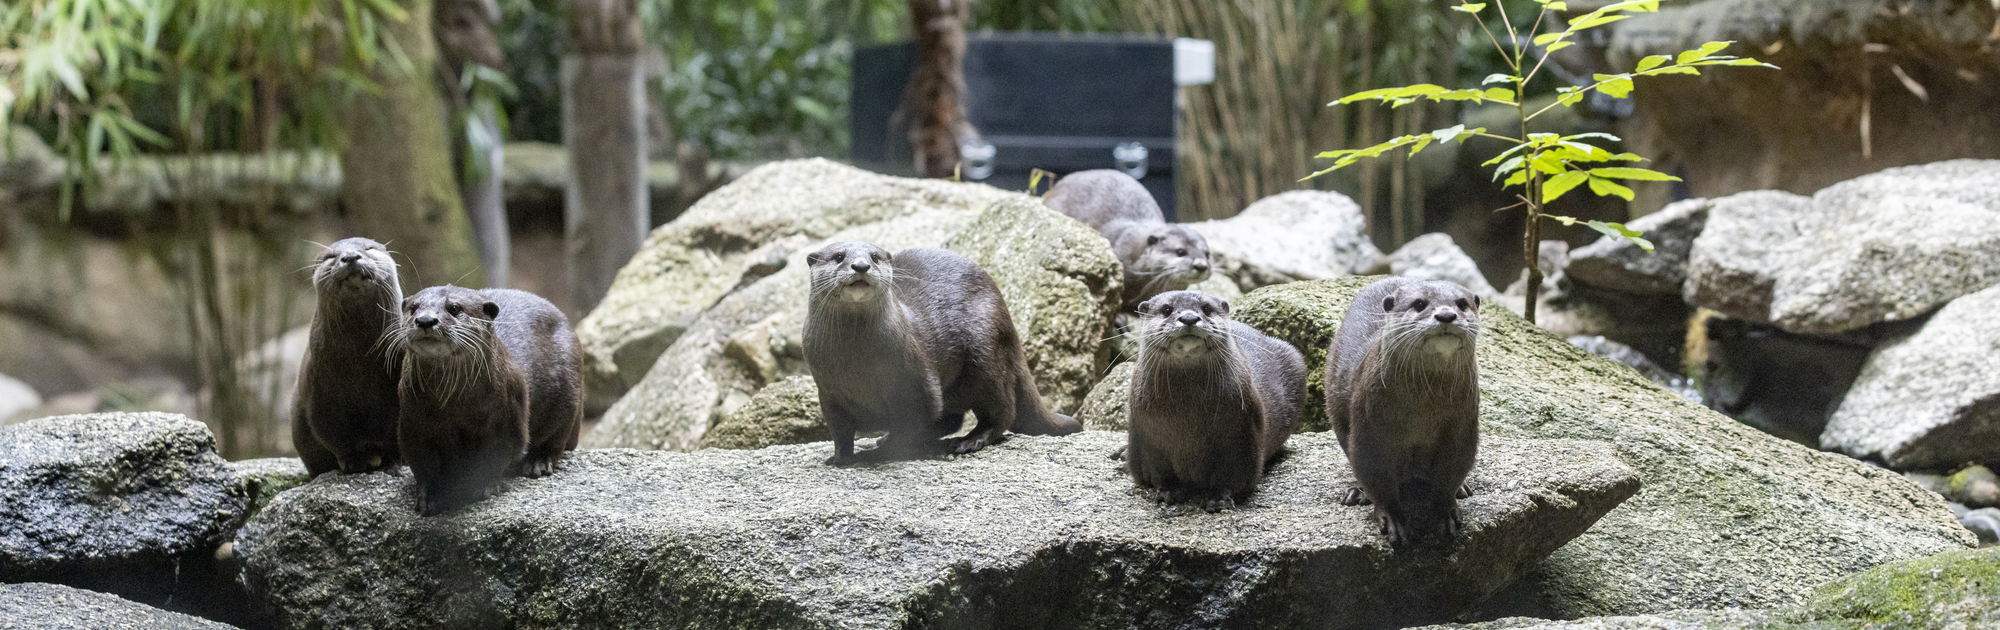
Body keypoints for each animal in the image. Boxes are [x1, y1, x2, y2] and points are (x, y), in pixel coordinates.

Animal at [293, 237, 403, 477]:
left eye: (369, 248)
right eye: (330, 256)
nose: (351, 256)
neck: (361, 360)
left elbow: (395, 431)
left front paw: (393, 462)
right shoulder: (320, 392)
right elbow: (332, 433)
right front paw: (354, 462)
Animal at [387, 285, 582, 515]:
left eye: (455, 308)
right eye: (413, 308)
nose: (425, 320)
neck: (454, 406)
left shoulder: (508, 419)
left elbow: (496, 456)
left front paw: (485, 486)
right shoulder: (413, 423)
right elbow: (423, 464)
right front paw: (430, 496)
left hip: (568, 395)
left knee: (556, 437)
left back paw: (538, 462)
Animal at [803, 241, 1081, 465]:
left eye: (875, 257)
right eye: (839, 256)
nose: (860, 266)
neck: (858, 366)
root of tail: (1010, 327)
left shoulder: (918, 385)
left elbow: (911, 426)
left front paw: (876, 454)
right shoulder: (828, 392)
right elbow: (840, 431)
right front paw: (840, 458)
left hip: (986, 355)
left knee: (1002, 411)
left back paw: (969, 441)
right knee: (953, 418)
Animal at [1124, 291, 1304, 512]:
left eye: (1207, 308)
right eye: (1166, 309)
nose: (1189, 318)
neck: (1186, 419)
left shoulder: (1241, 437)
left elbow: (1231, 475)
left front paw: (1218, 498)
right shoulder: (1149, 438)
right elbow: (1160, 471)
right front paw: (1169, 491)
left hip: (1295, 359)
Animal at [1325, 277, 1482, 547]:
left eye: (1462, 304)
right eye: (1419, 304)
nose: (1446, 315)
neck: (1423, 411)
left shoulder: (1462, 426)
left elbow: (1451, 470)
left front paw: (1445, 512)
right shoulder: (1370, 424)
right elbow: (1375, 473)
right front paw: (1392, 518)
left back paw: (1463, 488)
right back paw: (1357, 492)